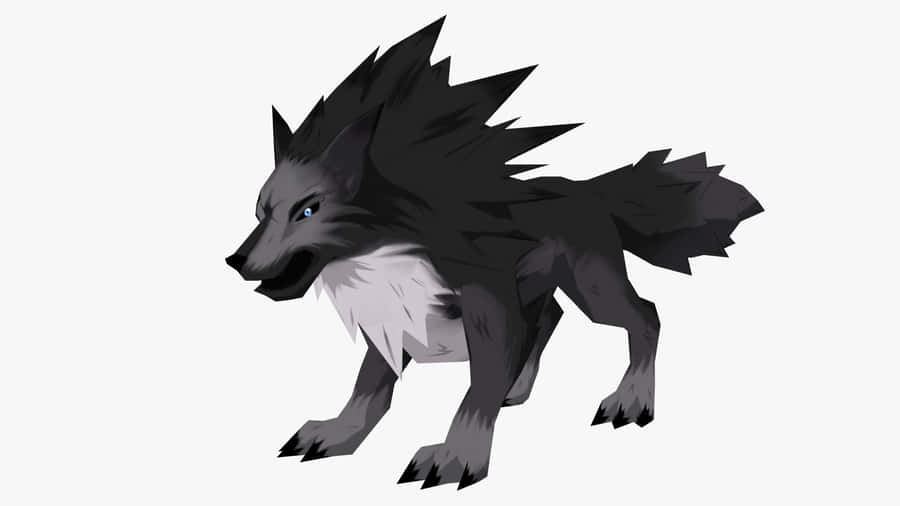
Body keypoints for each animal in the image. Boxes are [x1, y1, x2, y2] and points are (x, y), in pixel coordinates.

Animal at [226, 17, 763, 490]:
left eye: (308, 210)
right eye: (259, 211)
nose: (236, 261)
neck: (384, 254)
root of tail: (588, 190)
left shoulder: (488, 306)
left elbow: (475, 392)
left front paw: (456, 458)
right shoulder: (397, 318)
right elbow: (368, 388)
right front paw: (337, 433)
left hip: (592, 284)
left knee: (644, 315)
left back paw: (630, 400)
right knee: (551, 316)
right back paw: (520, 387)